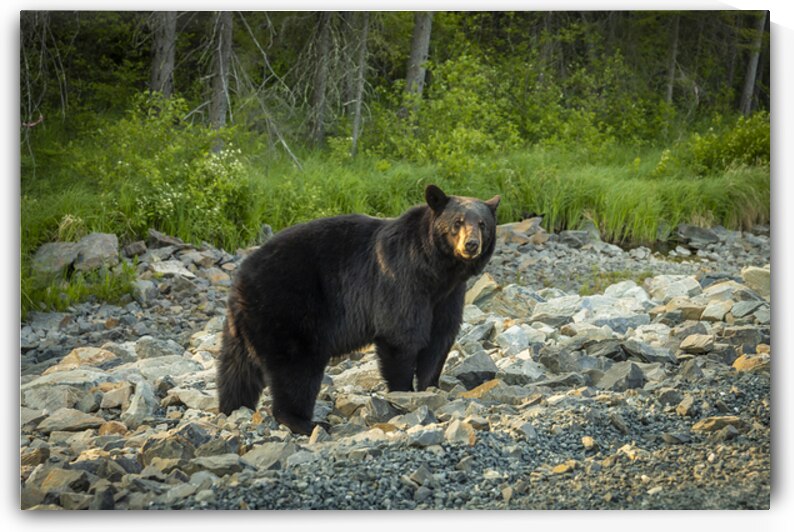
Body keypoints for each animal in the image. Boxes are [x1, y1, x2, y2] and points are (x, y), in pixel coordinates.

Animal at [216, 184, 500, 435]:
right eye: (457, 222)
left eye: (482, 224)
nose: (471, 244)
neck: (436, 270)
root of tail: (240, 281)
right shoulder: (402, 281)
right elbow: (401, 334)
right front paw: (404, 392)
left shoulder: (448, 295)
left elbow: (440, 337)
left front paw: (430, 387)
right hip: (287, 311)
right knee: (296, 370)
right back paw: (304, 422)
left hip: (243, 327)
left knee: (237, 371)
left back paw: (233, 407)